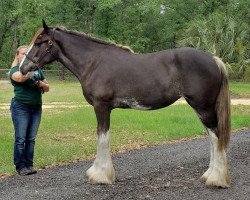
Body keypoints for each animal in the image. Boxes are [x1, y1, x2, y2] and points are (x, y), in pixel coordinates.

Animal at [20, 20, 231, 188]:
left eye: (39, 42)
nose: (23, 68)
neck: (94, 62)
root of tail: (214, 59)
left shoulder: (102, 107)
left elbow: (102, 138)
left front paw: (101, 176)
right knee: (212, 137)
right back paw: (209, 175)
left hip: (203, 107)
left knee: (215, 137)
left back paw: (216, 179)